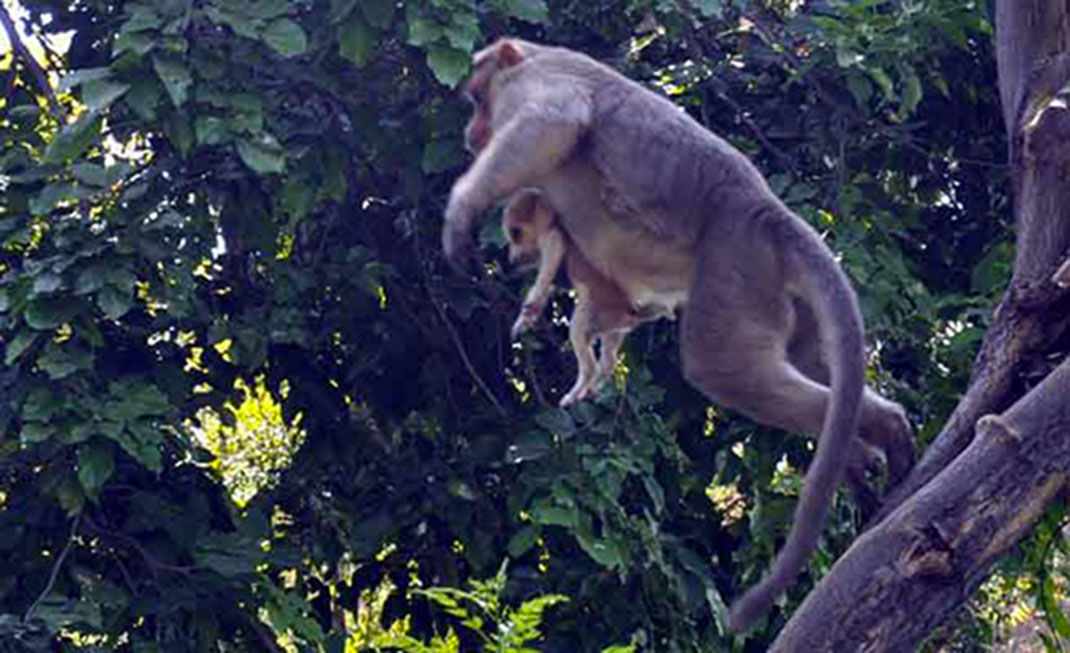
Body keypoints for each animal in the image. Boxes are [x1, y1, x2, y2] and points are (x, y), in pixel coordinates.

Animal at [503, 189, 672, 406]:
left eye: (516, 233)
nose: (511, 258)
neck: (555, 219)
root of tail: (632, 311)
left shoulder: (552, 241)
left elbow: (541, 285)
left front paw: (523, 321)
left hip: (591, 317)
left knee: (588, 359)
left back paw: (574, 394)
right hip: (614, 328)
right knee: (608, 361)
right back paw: (591, 390)